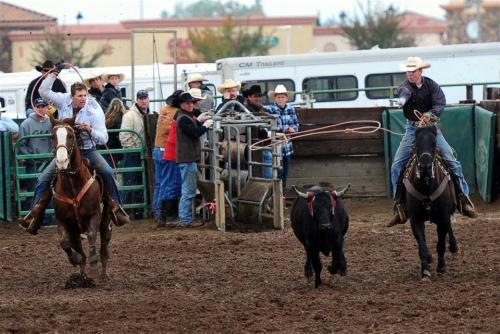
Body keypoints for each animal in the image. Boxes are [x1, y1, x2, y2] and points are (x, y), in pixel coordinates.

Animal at [50, 115, 112, 288]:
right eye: (53, 136)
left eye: (71, 136)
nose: (62, 162)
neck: (72, 184)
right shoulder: (62, 220)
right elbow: (65, 243)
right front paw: (77, 260)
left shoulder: (94, 215)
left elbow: (91, 235)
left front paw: (93, 265)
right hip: (75, 229)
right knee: (76, 245)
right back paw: (83, 278)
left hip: (106, 221)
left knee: (104, 247)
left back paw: (103, 276)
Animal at [402, 124, 458, 280]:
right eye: (416, 144)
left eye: (434, 143)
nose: (425, 167)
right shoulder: (415, 219)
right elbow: (422, 245)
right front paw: (425, 269)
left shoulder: (443, 217)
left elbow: (440, 244)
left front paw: (441, 267)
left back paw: (453, 246)